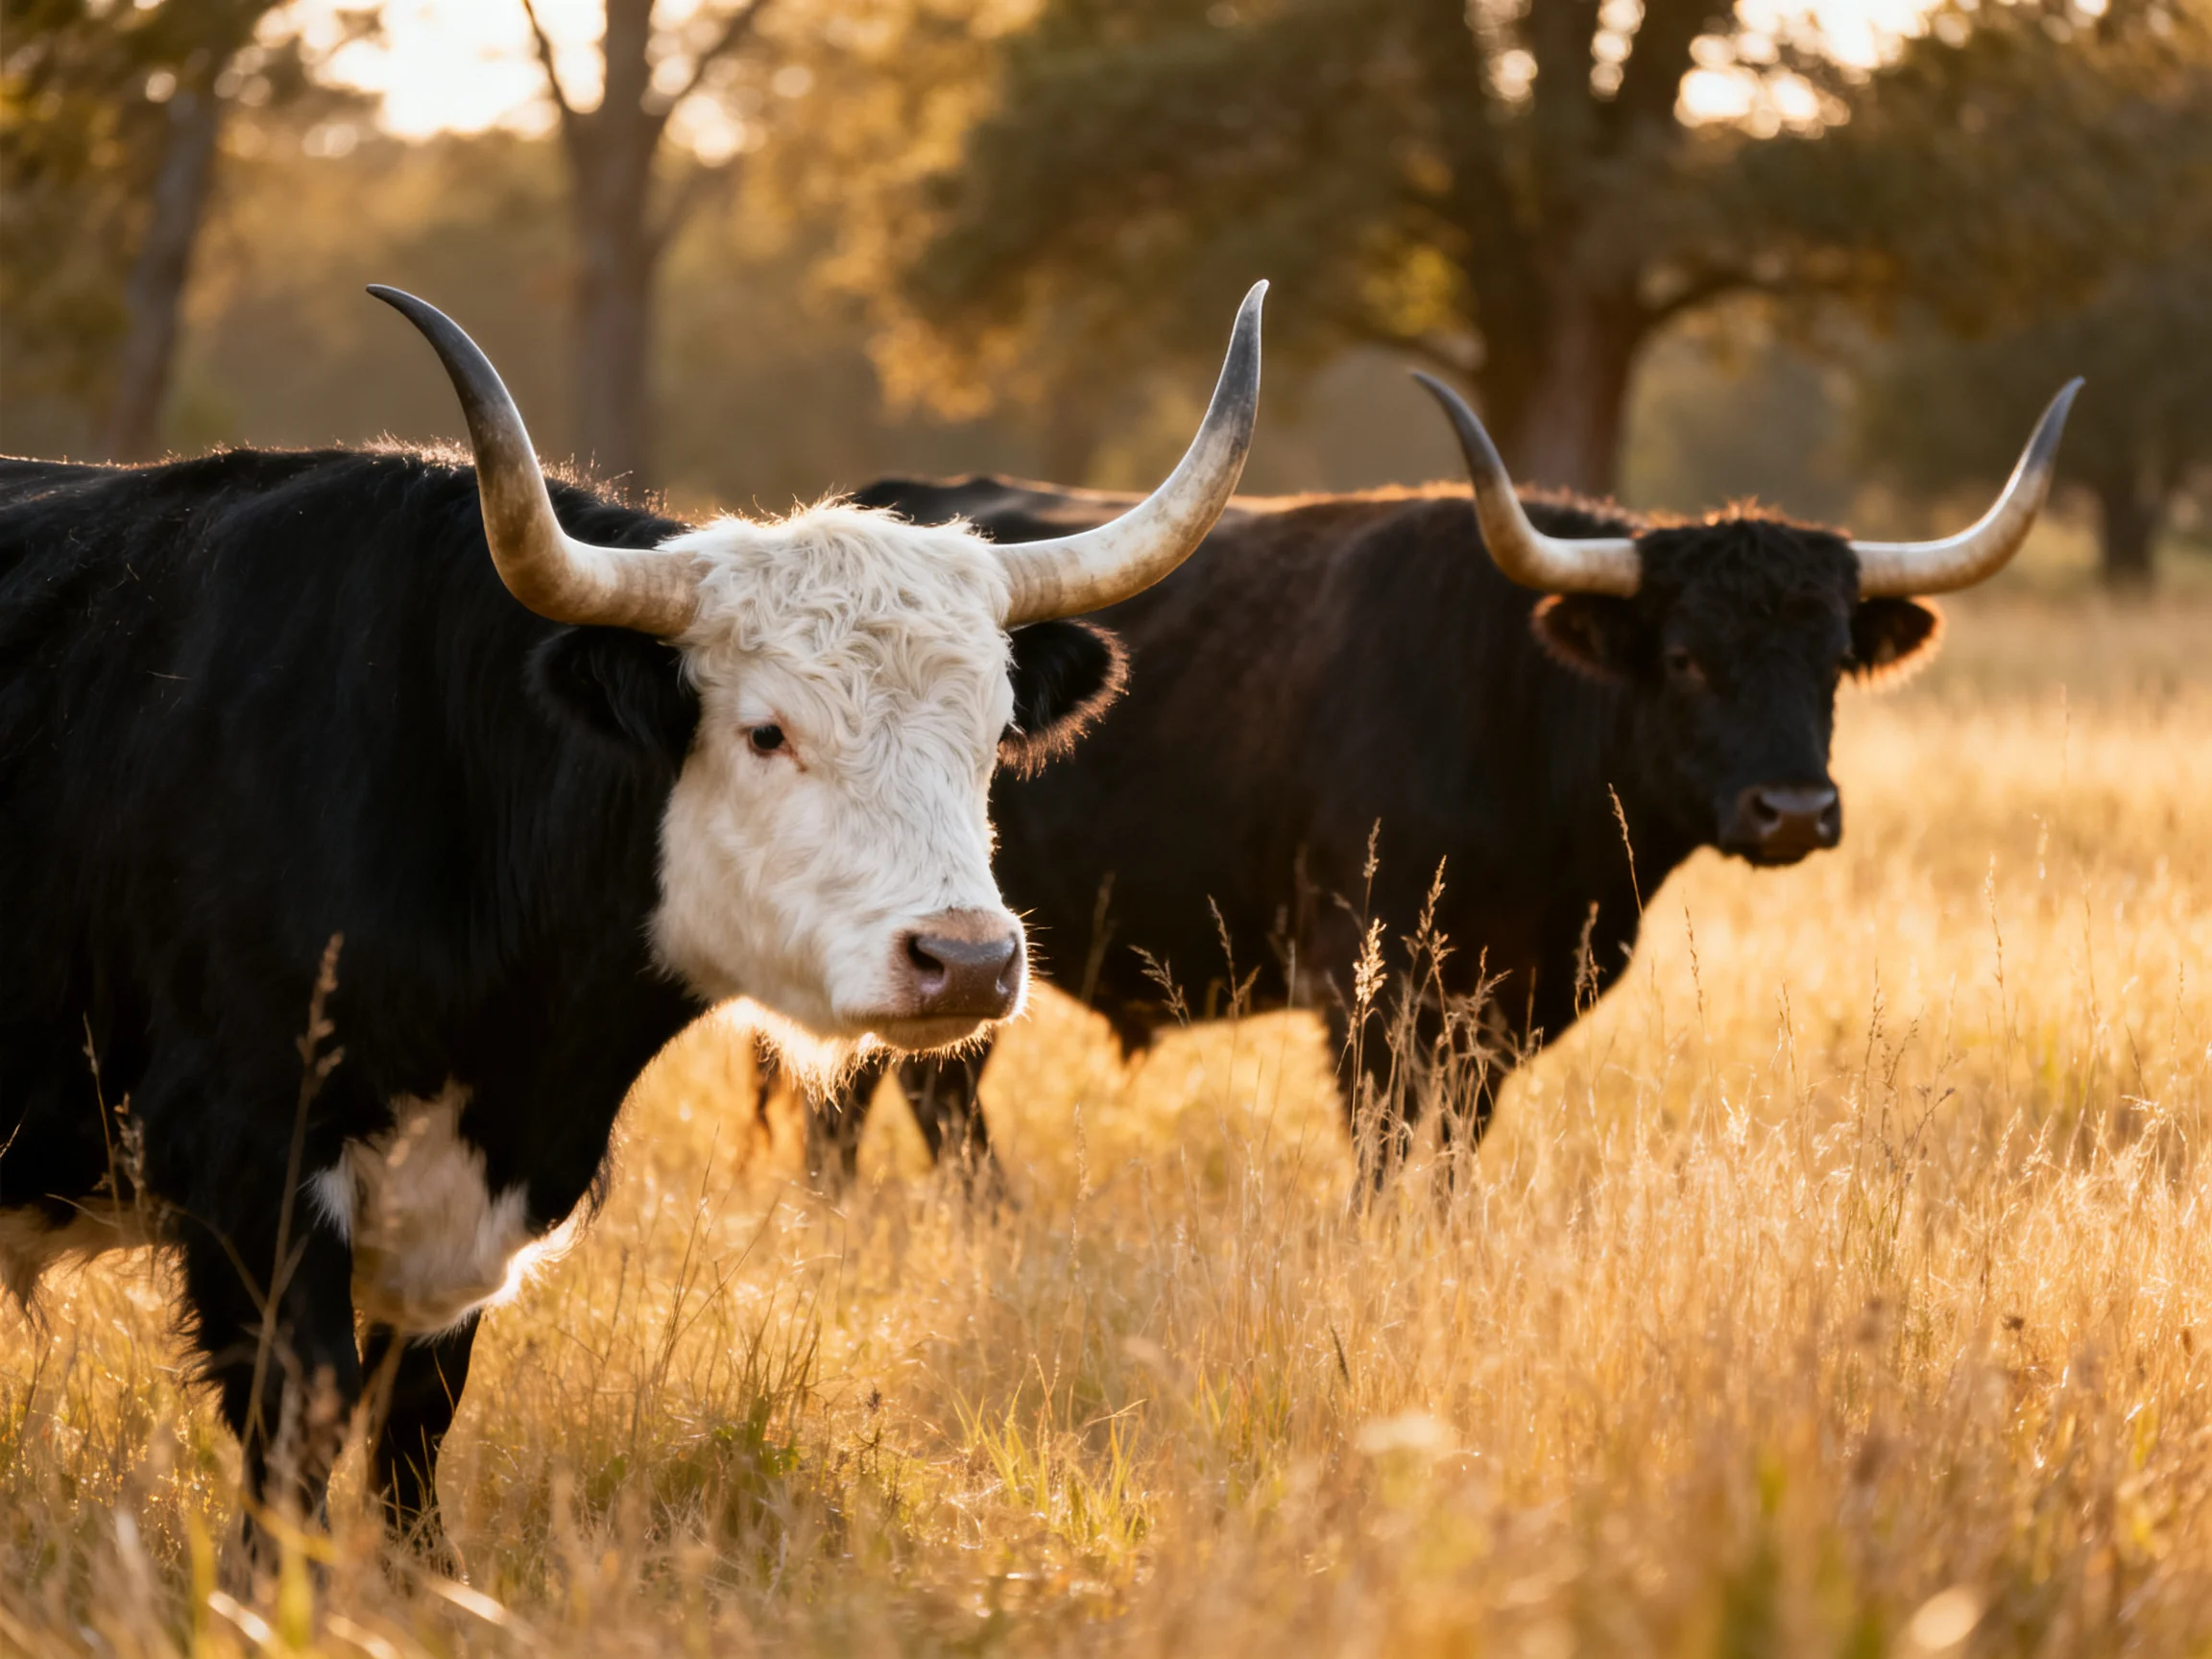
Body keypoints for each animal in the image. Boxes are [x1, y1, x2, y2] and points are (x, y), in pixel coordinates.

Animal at [0, 281, 1263, 1569]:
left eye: (995, 732)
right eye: (764, 732)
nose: (964, 960)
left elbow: (414, 1439)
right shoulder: (251, 1170)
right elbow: (297, 1445)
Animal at [794, 374, 2078, 1191]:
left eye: (1832, 659)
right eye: (1684, 657)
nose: (1794, 812)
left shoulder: (1498, 1011)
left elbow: (1451, 1159)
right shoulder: (1367, 988)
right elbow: (1383, 1155)